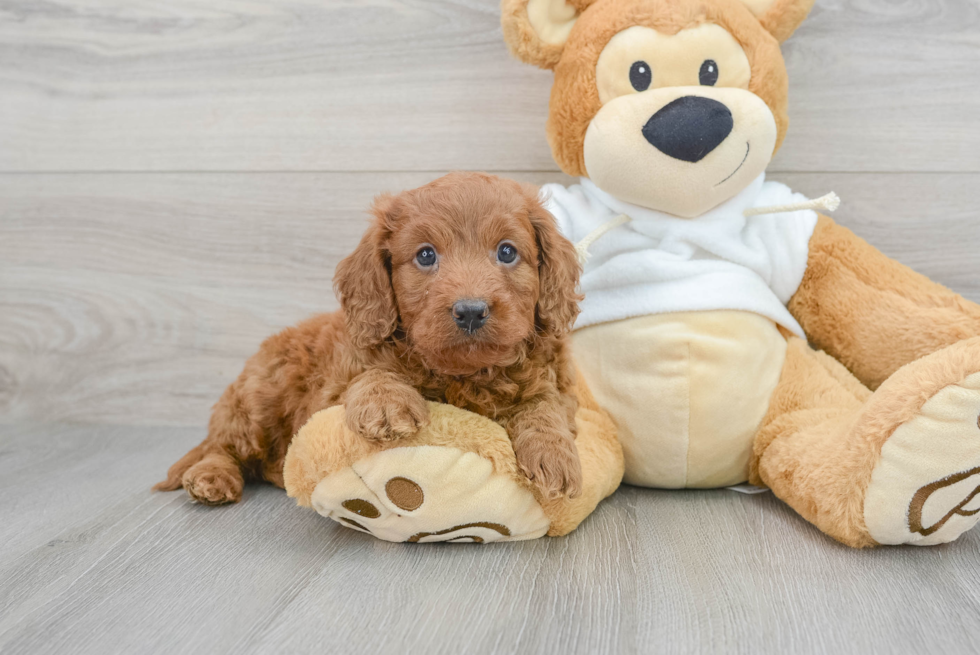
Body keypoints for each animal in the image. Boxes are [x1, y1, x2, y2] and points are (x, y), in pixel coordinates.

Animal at [153, 172, 580, 504]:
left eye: (507, 252)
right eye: (426, 256)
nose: (471, 310)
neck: (464, 375)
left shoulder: (554, 381)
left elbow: (545, 406)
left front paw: (554, 455)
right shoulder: (335, 382)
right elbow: (369, 375)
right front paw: (386, 403)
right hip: (258, 398)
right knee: (223, 446)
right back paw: (211, 476)